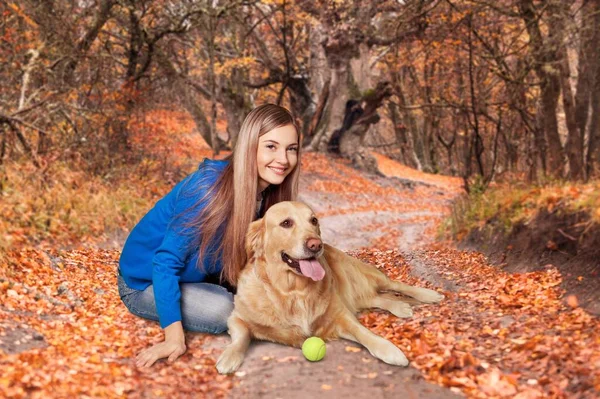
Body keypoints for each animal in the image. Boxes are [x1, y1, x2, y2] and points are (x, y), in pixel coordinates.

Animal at [217, 203, 446, 376]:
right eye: (286, 223)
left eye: (314, 220)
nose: (316, 245)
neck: (293, 291)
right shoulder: (237, 318)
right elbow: (241, 336)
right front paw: (229, 356)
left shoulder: (340, 315)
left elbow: (363, 332)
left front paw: (388, 349)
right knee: (378, 298)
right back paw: (400, 307)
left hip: (368, 275)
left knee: (394, 285)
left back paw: (428, 295)